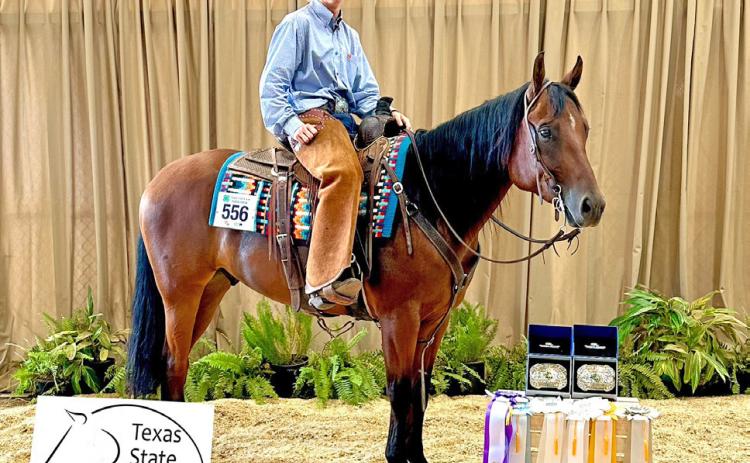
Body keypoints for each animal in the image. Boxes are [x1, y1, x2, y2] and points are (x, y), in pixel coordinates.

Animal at [127, 52, 605, 463]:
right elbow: (401, 392)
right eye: (545, 130)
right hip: (180, 294)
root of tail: (157, 181)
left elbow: (420, 394)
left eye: (585, 129)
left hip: (210, 290)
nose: (591, 206)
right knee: (173, 364)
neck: (426, 196)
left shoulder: (435, 322)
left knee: (174, 364)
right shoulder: (399, 318)